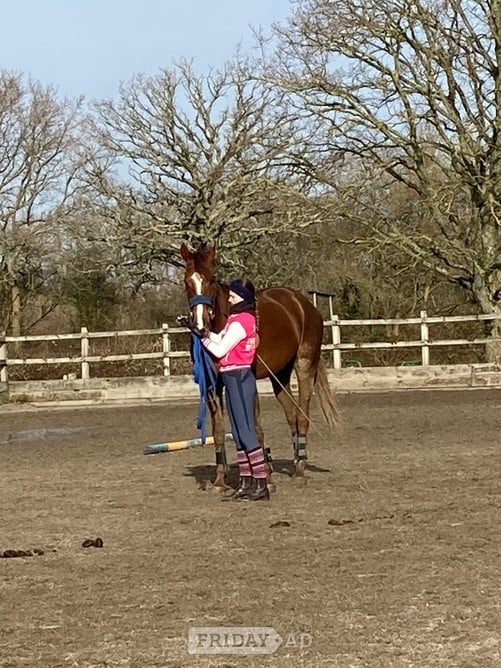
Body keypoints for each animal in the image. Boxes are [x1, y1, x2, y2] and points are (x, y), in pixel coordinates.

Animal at [180, 242, 338, 490]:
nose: (199, 325)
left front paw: (267, 479)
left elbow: (255, 427)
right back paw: (295, 459)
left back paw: (300, 468)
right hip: (279, 376)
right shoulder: (213, 385)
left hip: (304, 365)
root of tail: (302, 303)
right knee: (292, 415)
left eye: (212, 279)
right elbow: (218, 430)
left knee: (302, 413)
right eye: (187, 281)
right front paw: (219, 480)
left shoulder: (246, 380)